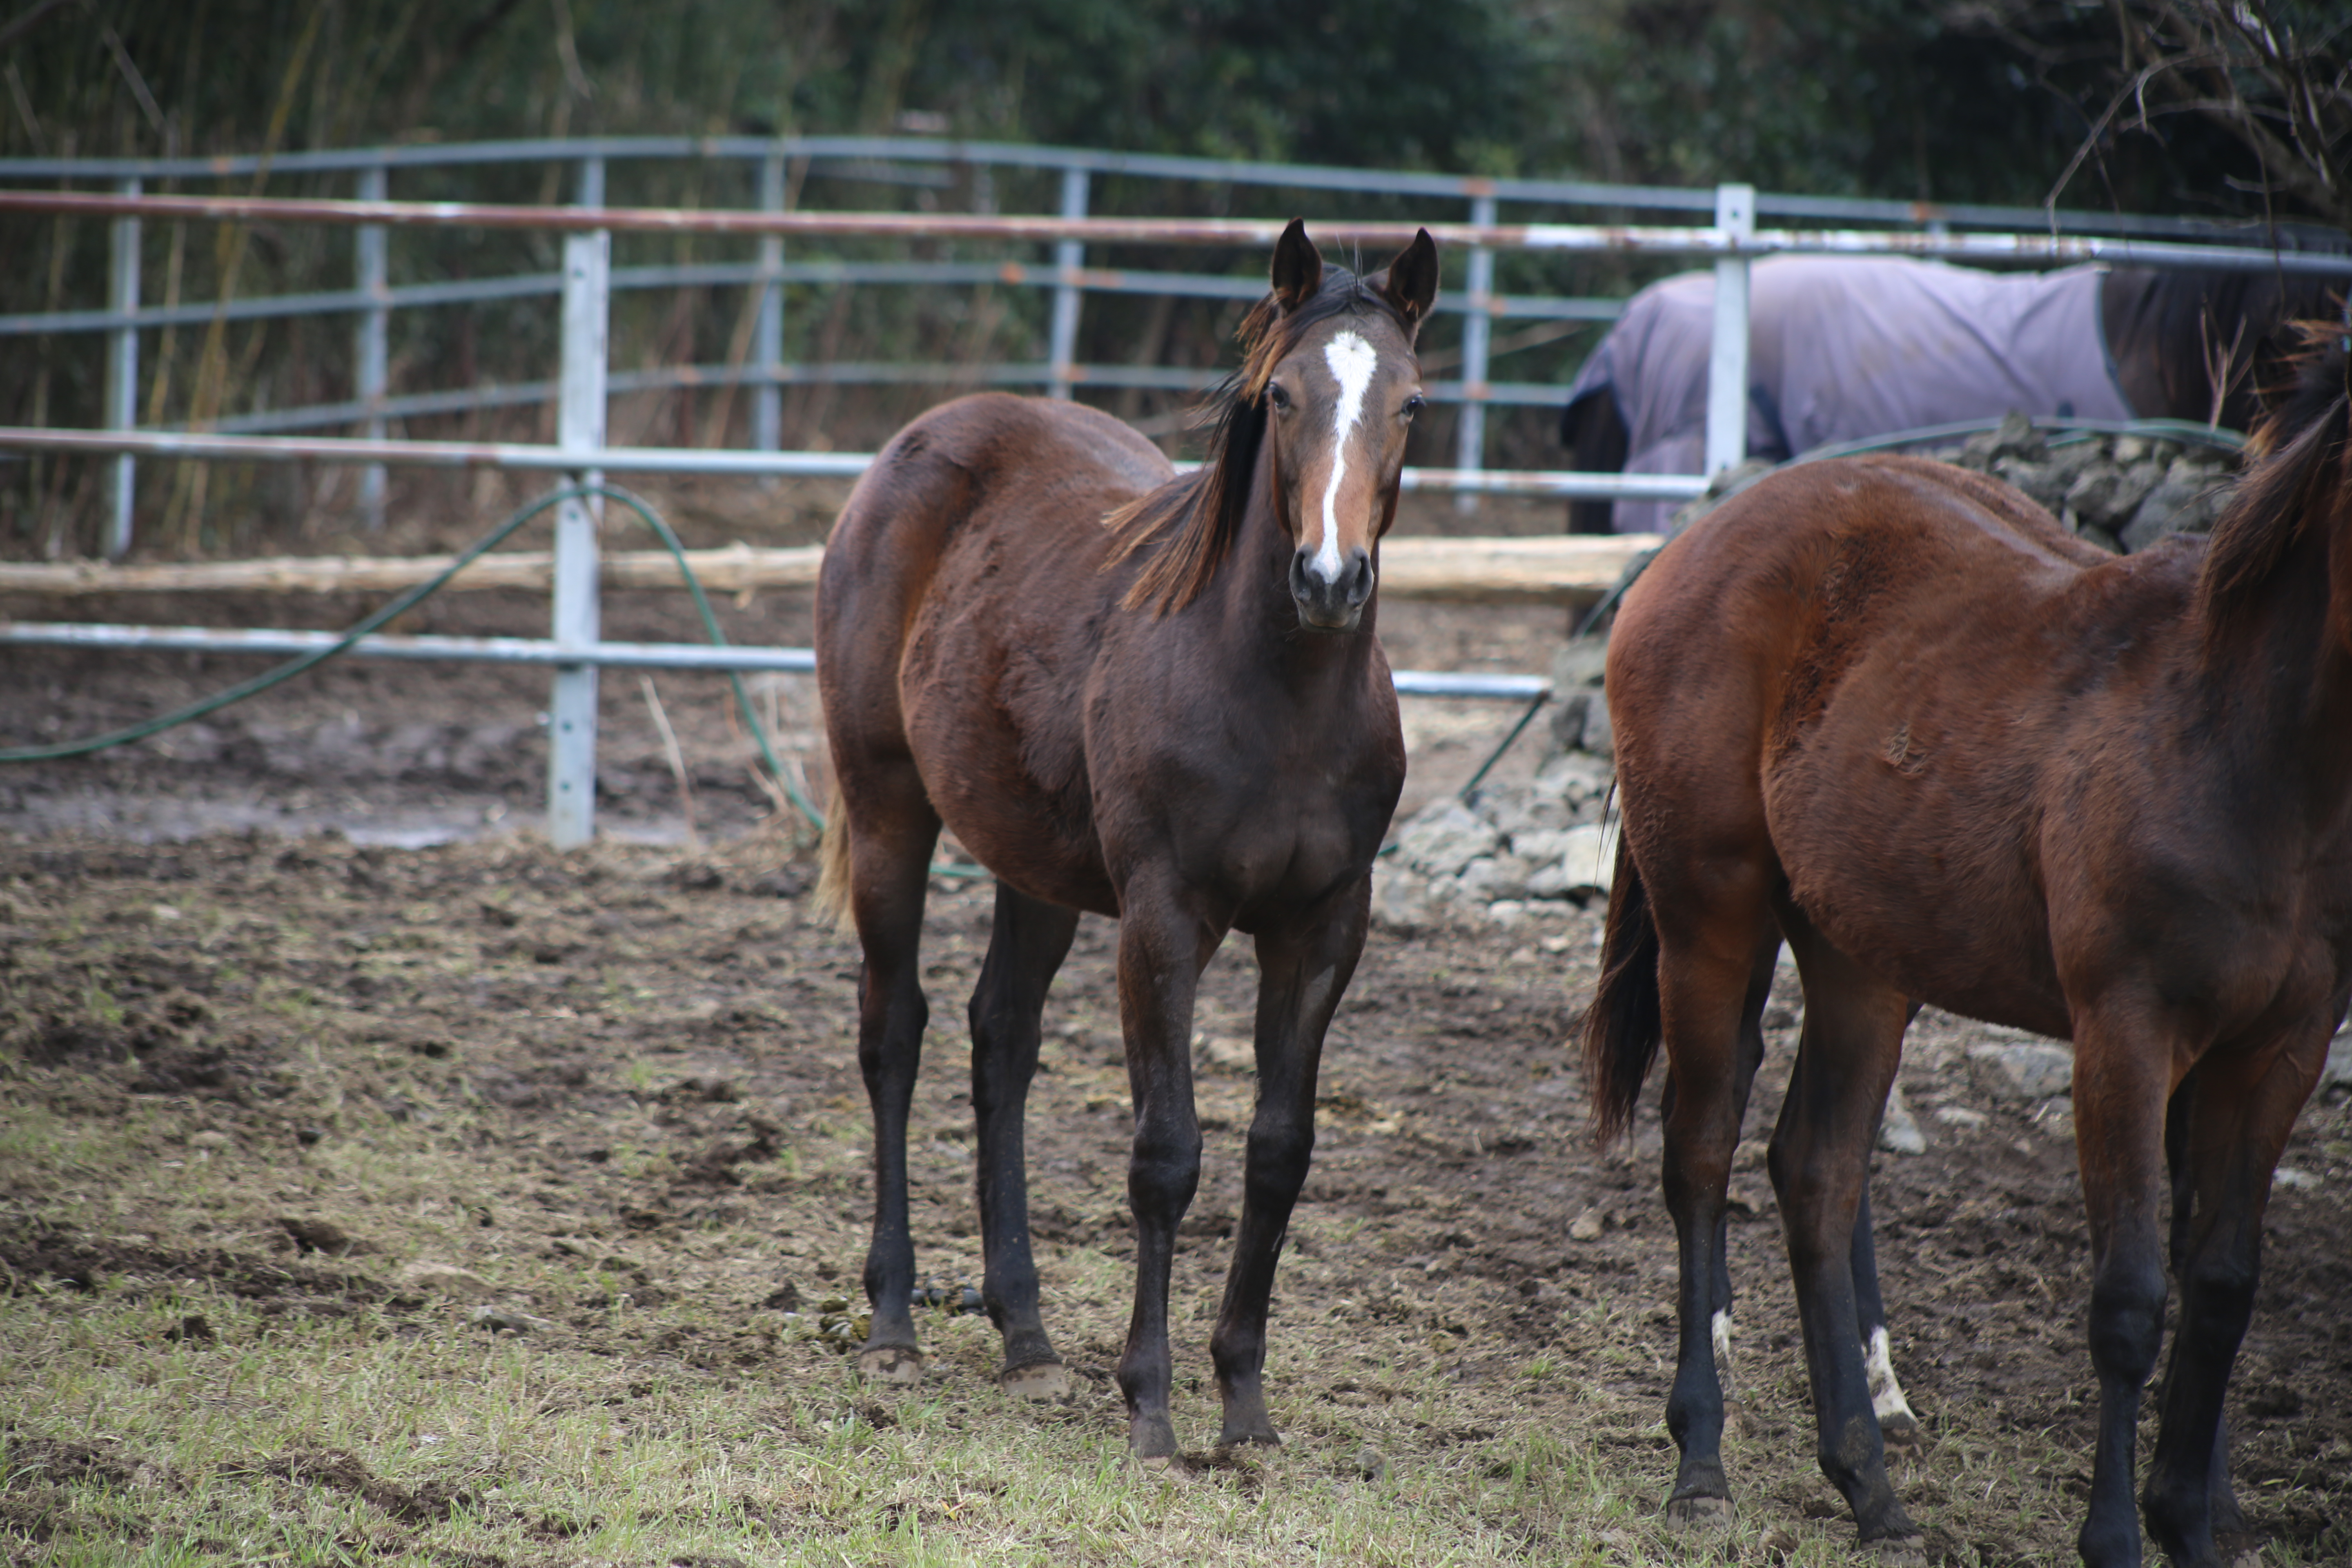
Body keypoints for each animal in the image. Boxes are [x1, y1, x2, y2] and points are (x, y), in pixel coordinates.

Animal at [809, 217, 1430, 1457]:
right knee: (892, 1033)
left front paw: (1243, 1402)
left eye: (1411, 403)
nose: (1329, 578)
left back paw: (1027, 1336)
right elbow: (1165, 1151)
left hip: (1035, 867)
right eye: (1281, 395)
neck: (1279, 697)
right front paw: (1150, 1403)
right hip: (891, 811)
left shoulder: (1326, 924)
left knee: (1000, 1041)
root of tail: (908, 451)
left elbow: (1277, 1153)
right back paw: (893, 1320)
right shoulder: (1162, 918)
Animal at [1580, 339, 2352, 1561]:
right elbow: (2130, 1296)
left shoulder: (2281, 1045)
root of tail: (1690, 545)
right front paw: (2117, 1533)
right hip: (1711, 920)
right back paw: (1701, 1460)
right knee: (1699, 1154)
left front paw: (2193, 1517)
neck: (2242, 747)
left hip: (1858, 960)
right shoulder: (2125, 1033)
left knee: (1816, 1170)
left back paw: (1867, 1481)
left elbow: (2222, 1282)